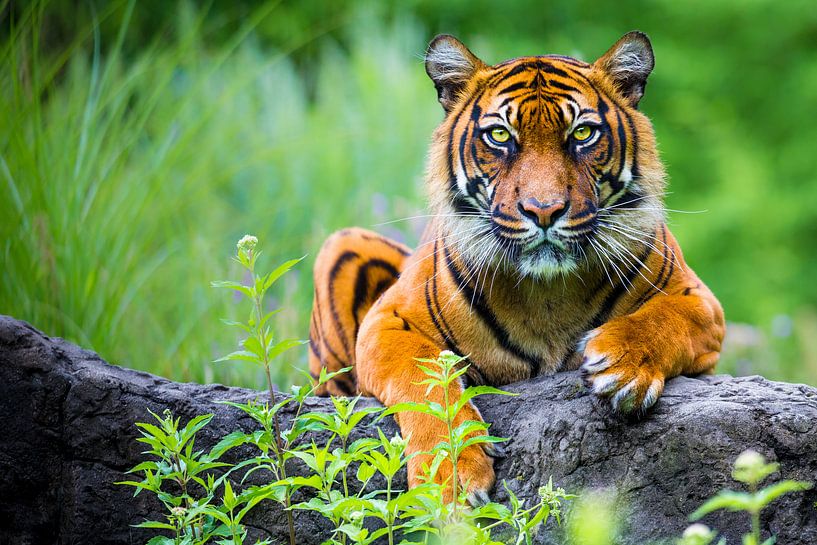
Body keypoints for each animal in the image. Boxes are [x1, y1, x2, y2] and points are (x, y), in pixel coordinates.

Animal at [308, 30, 728, 502]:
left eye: (582, 133)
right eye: (499, 135)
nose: (543, 210)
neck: (548, 292)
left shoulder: (700, 302)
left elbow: (662, 319)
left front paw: (623, 367)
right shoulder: (386, 321)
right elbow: (424, 378)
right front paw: (451, 478)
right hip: (341, 244)